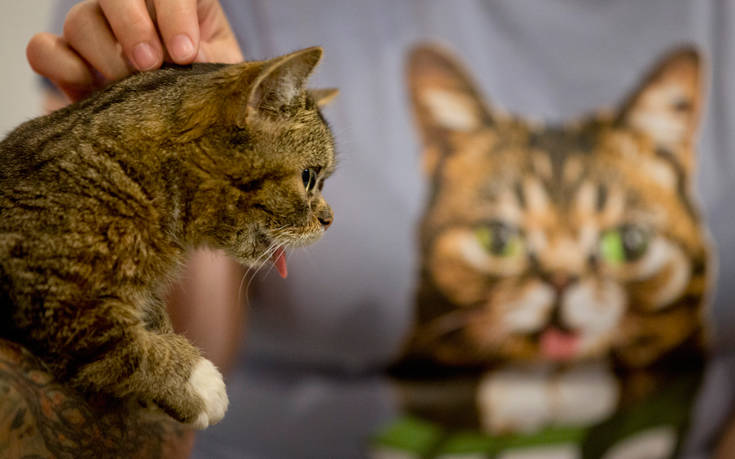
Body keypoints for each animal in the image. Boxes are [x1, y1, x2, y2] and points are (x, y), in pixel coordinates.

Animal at [0, 46, 340, 432]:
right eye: (309, 177)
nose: (330, 219)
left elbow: (149, 321)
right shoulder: (51, 296)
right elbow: (124, 345)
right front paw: (198, 382)